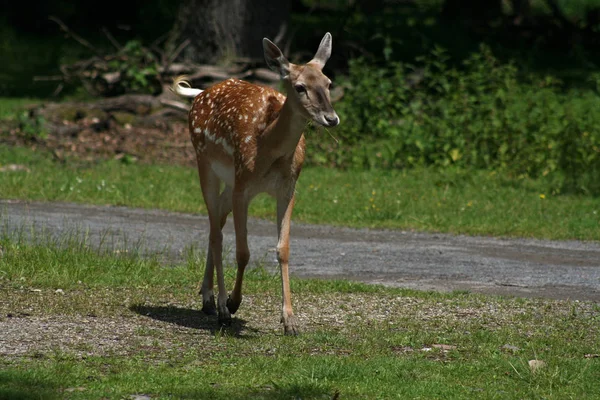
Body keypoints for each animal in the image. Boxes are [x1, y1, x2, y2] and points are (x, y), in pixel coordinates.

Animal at [172, 33, 338, 334]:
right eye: (300, 87)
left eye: (328, 82)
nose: (331, 118)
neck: (267, 148)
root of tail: (200, 93)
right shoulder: (243, 188)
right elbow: (243, 252)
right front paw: (234, 302)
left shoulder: (288, 189)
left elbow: (283, 249)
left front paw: (289, 320)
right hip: (205, 163)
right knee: (216, 232)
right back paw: (221, 308)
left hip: (229, 180)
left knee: (216, 223)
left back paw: (207, 298)